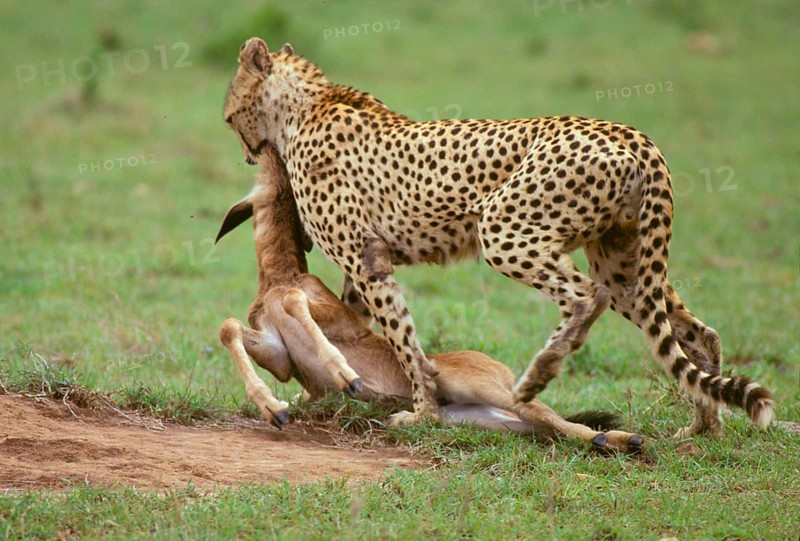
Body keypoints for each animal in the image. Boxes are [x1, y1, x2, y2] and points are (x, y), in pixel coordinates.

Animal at [222, 37, 773, 437]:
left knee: (583, 296)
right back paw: (703, 428)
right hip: (626, 265)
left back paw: (535, 378)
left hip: (504, 230)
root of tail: (624, 130)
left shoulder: (366, 260)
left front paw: (420, 412)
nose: (248, 154)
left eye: (228, 115)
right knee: (695, 333)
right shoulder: (364, 265)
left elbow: (404, 341)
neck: (306, 105)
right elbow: (375, 333)